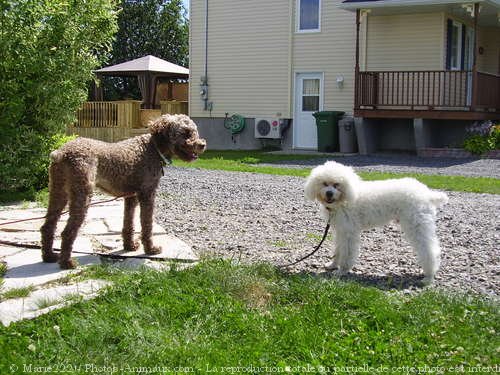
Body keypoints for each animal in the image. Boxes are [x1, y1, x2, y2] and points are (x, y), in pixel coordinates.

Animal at [39, 113, 207, 268]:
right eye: (185, 133)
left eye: (194, 131)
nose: (202, 144)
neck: (152, 148)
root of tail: (61, 153)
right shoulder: (147, 194)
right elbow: (147, 225)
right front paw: (151, 249)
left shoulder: (131, 196)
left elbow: (129, 223)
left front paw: (129, 246)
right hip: (82, 194)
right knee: (67, 232)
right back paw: (67, 263)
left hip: (58, 192)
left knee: (47, 226)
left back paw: (49, 256)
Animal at [304, 162, 450, 284]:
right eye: (324, 183)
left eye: (337, 184)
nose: (329, 193)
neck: (344, 200)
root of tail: (427, 194)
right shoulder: (341, 231)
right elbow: (338, 249)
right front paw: (333, 265)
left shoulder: (349, 233)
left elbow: (347, 253)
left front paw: (342, 271)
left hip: (417, 225)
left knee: (429, 250)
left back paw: (429, 276)